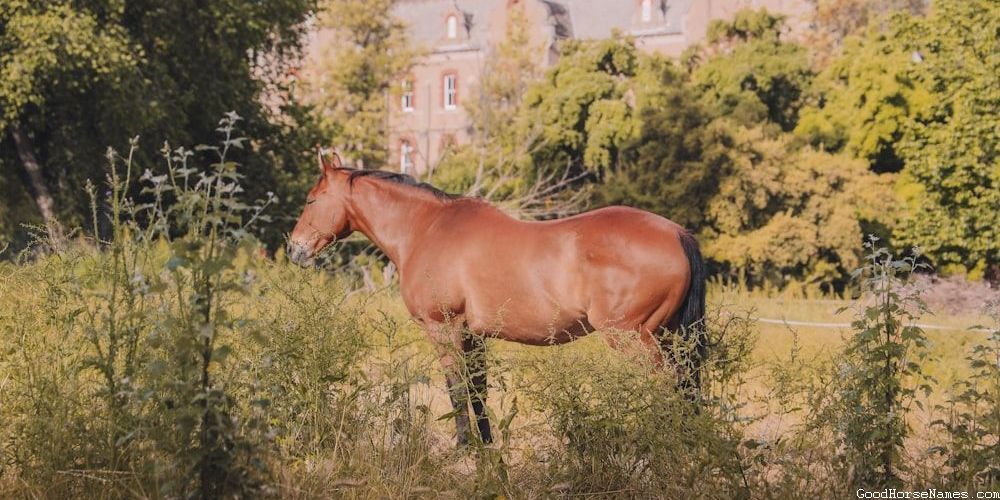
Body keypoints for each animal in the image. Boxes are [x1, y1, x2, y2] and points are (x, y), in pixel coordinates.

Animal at [287, 151, 707, 446]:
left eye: (311, 200)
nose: (294, 249)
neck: (426, 229)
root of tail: (677, 233)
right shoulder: (473, 335)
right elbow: (477, 391)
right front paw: (487, 448)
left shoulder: (444, 329)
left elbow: (456, 389)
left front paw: (463, 447)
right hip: (668, 337)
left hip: (634, 339)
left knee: (667, 387)